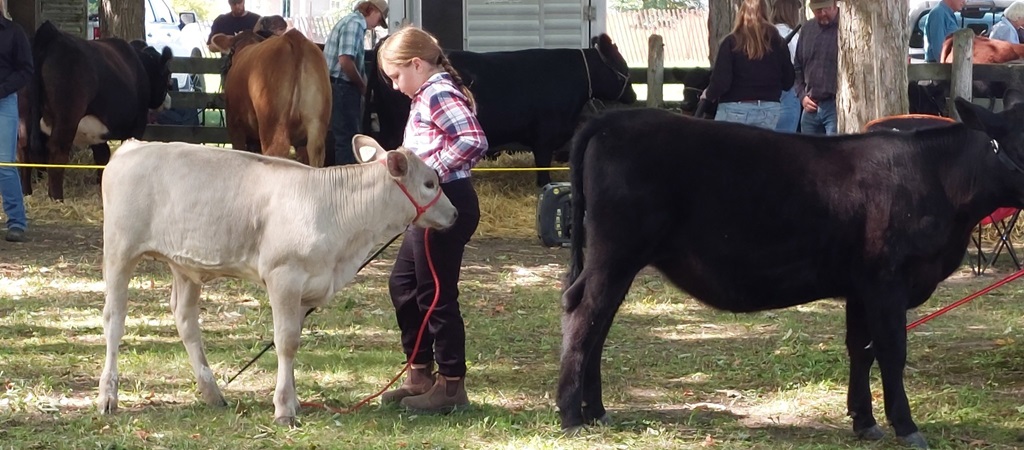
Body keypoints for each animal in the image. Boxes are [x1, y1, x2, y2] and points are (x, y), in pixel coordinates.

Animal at [27, 21, 173, 201]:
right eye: (167, 74)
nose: (168, 100)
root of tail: (52, 34)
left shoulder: (96, 132)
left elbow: (102, 155)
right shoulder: (137, 124)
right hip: (67, 118)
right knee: (56, 150)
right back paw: (56, 198)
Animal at [97, 135, 457, 426]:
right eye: (429, 183)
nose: (454, 214)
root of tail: (133, 146)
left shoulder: (307, 287)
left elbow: (294, 339)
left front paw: (294, 401)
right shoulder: (284, 275)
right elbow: (286, 342)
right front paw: (284, 408)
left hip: (184, 266)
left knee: (185, 320)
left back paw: (212, 392)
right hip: (119, 249)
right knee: (115, 318)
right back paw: (108, 397)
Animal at [557, 91, 1024, 449]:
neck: (938, 179)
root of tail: (613, 118)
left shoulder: (861, 286)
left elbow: (861, 349)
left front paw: (864, 421)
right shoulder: (888, 280)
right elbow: (892, 352)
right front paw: (906, 427)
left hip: (619, 260)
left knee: (599, 321)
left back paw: (595, 410)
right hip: (615, 252)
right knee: (584, 314)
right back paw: (570, 414)